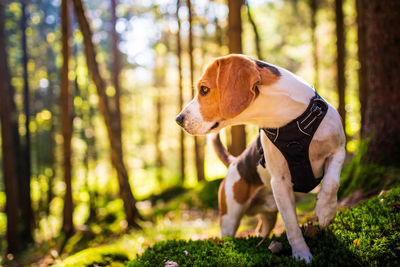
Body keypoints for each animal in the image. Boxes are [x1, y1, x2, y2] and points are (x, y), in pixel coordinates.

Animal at [177, 54, 346, 264]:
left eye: (204, 89)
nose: (178, 119)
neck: (289, 119)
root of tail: (234, 162)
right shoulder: (280, 182)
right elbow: (291, 225)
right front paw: (301, 254)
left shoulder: (339, 150)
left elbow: (332, 182)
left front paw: (325, 211)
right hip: (229, 216)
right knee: (229, 233)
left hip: (267, 216)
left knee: (261, 230)